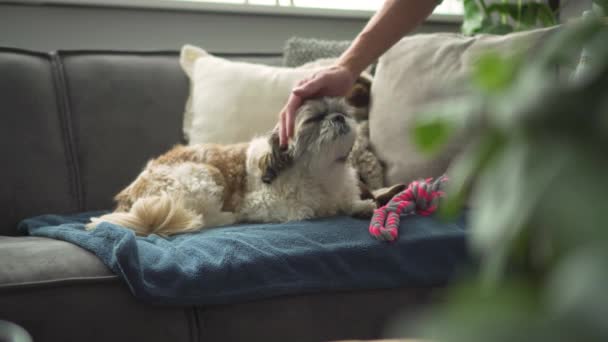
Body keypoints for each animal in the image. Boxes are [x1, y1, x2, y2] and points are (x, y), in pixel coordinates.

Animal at [86, 96, 378, 235]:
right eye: (315, 119)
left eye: (345, 112)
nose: (338, 118)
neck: (323, 173)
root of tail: (128, 196)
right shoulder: (260, 203)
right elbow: (304, 210)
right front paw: (319, 209)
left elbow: (348, 202)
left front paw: (361, 206)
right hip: (205, 175)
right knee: (202, 218)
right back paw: (226, 218)